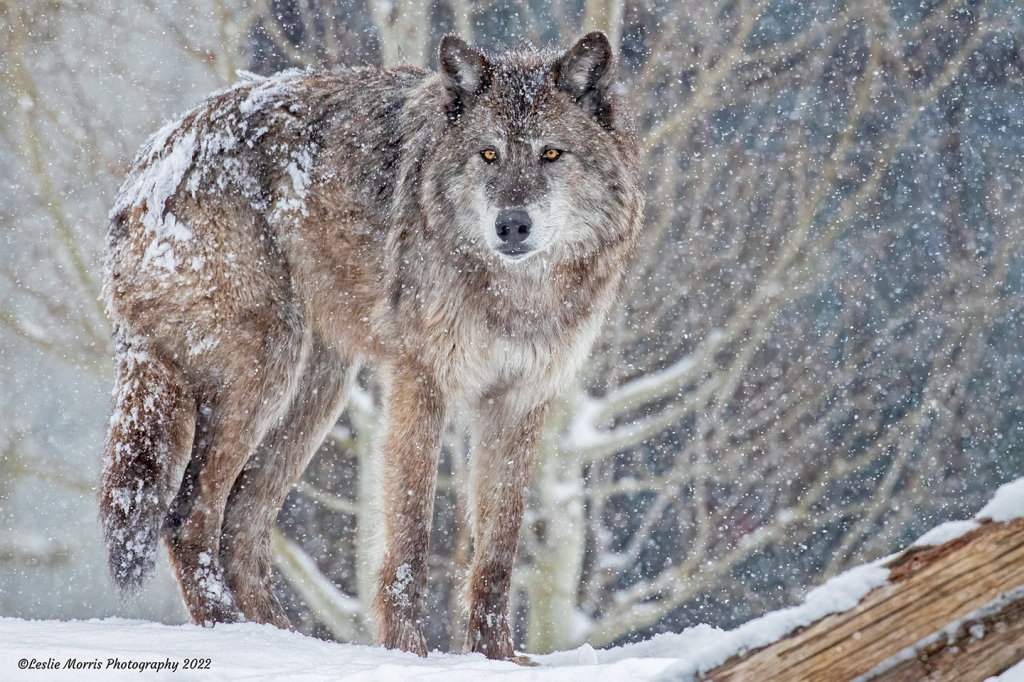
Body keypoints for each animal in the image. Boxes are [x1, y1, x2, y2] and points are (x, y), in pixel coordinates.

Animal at [96, 30, 638, 659]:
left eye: (552, 154)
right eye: (489, 155)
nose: (512, 225)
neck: (518, 295)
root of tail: (148, 164)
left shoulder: (520, 402)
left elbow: (498, 552)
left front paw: (496, 658)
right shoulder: (419, 383)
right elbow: (409, 538)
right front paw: (409, 654)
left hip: (316, 396)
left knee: (241, 530)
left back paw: (286, 645)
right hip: (263, 374)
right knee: (188, 520)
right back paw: (237, 640)